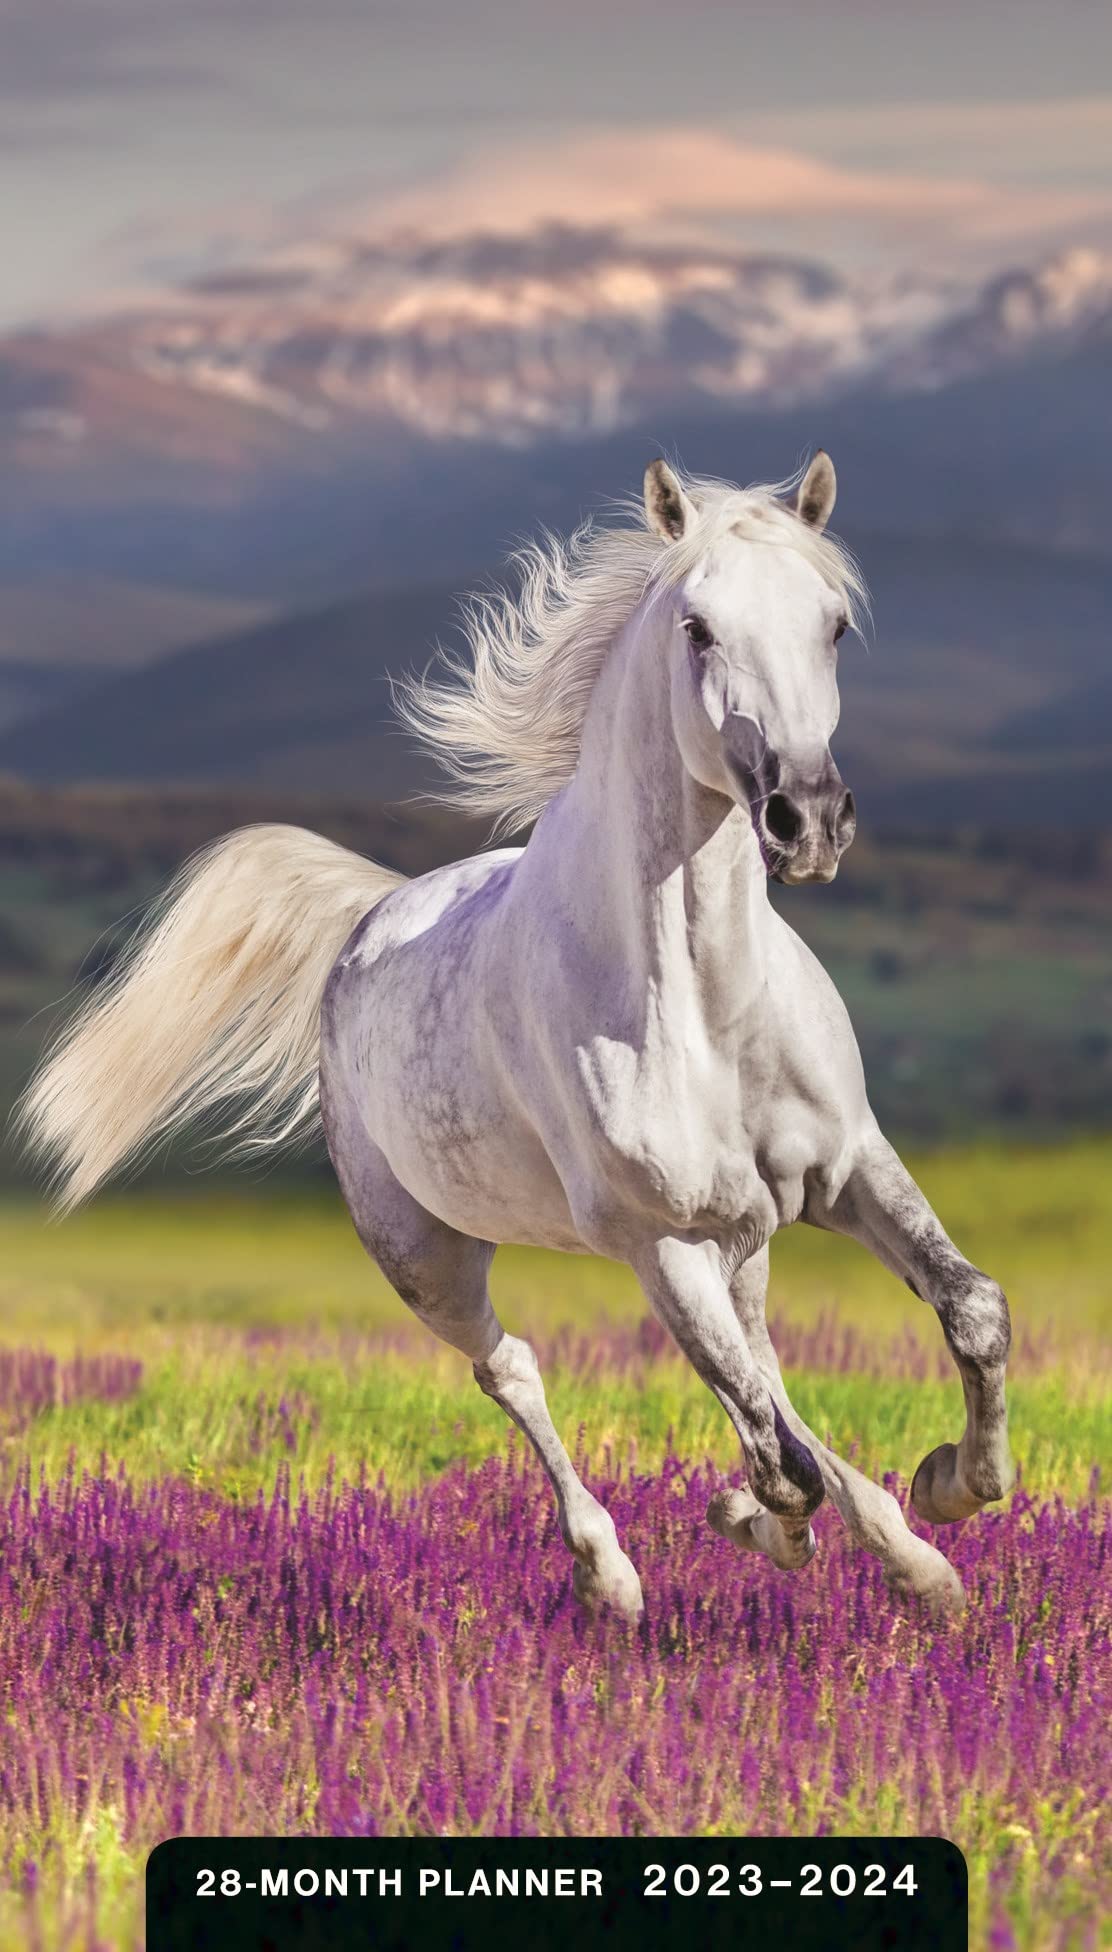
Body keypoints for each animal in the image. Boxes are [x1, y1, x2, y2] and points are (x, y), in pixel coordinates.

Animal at [18, 453, 1015, 1620]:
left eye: (835, 624)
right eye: (697, 628)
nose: (806, 820)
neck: (706, 1007)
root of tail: (370, 917)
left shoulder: (846, 1167)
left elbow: (967, 1310)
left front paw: (948, 1491)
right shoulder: (657, 1240)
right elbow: (774, 1454)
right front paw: (765, 1521)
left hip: (744, 1238)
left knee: (763, 1366)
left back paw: (901, 1554)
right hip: (429, 1256)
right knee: (519, 1369)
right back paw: (613, 1574)